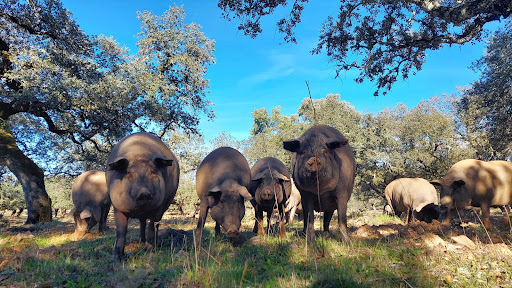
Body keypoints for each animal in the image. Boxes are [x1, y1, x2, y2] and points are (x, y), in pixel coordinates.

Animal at [105, 132, 179, 260]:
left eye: (153, 172)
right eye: (128, 172)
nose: (144, 193)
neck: (138, 153)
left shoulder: (159, 206)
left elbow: (152, 226)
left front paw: (148, 251)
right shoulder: (117, 206)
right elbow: (121, 231)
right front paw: (117, 257)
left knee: (151, 224)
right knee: (142, 222)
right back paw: (140, 241)